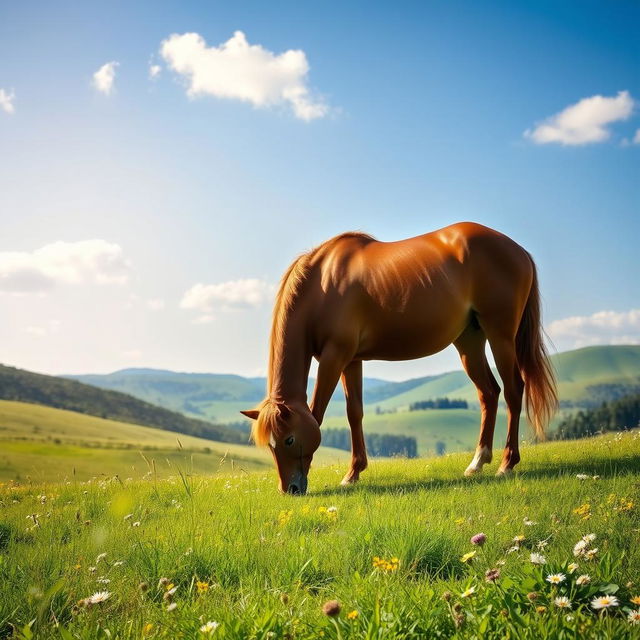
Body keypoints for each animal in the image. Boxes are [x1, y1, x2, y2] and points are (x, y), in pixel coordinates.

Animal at [240, 221, 556, 496]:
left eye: (289, 439)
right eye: (269, 444)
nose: (290, 490)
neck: (324, 283)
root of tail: (518, 250)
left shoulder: (334, 357)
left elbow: (317, 413)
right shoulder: (351, 361)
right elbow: (354, 412)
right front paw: (353, 474)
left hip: (501, 336)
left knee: (513, 391)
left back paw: (507, 464)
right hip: (470, 341)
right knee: (488, 393)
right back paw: (477, 463)